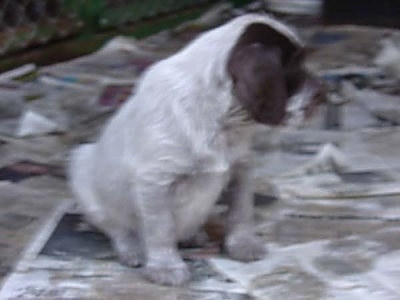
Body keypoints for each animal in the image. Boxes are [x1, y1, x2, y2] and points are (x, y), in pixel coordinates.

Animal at [67, 14, 320, 286]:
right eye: (293, 69)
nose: (322, 95)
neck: (223, 122)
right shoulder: (154, 181)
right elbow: (161, 229)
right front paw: (166, 267)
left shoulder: (242, 168)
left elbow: (242, 212)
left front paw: (243, 245)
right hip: (82, 167)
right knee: (116, 228)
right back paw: (132, 250)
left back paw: (193, 235)